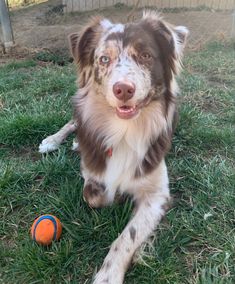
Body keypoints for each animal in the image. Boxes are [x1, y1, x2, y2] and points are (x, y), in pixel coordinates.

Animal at [39, 10, 188, 282]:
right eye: (104, 59)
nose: (123, 89)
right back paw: (54, 140)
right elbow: (94, 195)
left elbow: (127, 237)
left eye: (146, 56)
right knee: (73, 122)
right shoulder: (92, 172)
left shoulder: (157, 194)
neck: (124, 130)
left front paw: (108, 275)